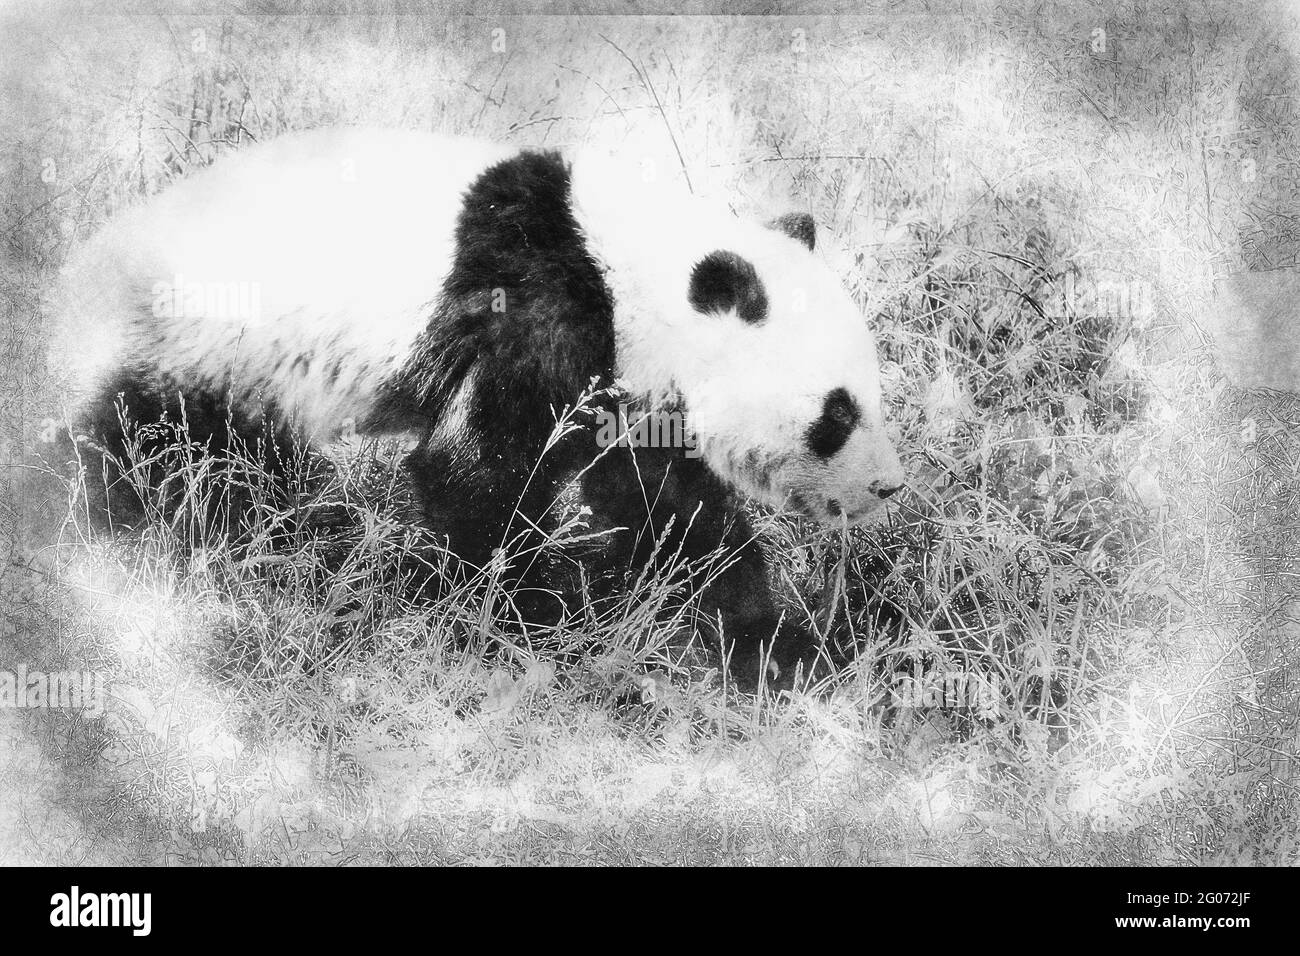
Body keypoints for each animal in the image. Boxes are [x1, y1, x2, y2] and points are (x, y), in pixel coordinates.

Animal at [49, 127, 905, 686]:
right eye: (837, 413)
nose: (890, 487)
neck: (632, 269)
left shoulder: (629, 381)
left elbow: (670, 506)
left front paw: (783, 651)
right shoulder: (536, 309)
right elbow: (474, 468)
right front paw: (527, 626)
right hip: (183, 344)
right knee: (150, 462)